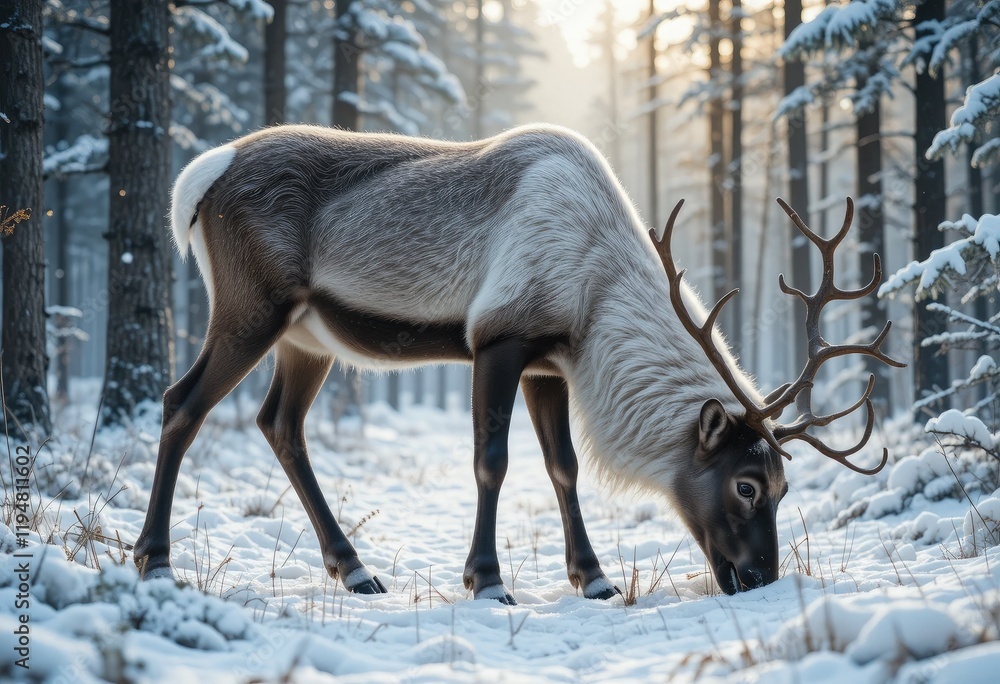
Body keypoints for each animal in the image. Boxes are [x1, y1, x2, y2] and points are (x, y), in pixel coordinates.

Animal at [132, 123, 903, 602]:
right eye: (747, 484)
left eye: (783, 486)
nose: (761, 577)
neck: (594, 300)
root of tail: (200, 178)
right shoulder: (499, 339)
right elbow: (492, 461)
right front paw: (488, 580)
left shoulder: (546, 364)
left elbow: (563, 468)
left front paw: (594, 578)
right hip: (251, 309)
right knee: (182, 403)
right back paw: (154, 559)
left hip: (307, 338)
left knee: (279, 424)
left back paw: (354, 570)